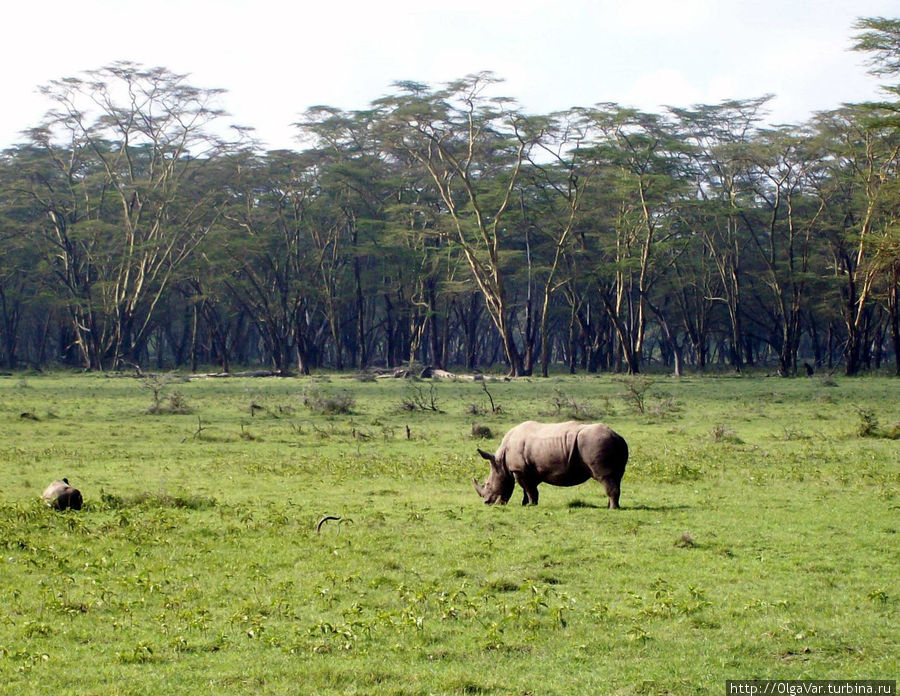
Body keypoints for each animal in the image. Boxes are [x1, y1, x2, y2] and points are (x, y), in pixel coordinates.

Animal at [474, 422, 628, 508]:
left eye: (487, 484)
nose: (487, 503)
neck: (501, 461)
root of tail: (617, 436)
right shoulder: (529, 470)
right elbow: (527, 489)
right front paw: (525, 504)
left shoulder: (519, 470)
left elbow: (529, 488)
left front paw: (531, 505)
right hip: (611, 444)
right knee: (616, 477)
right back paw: (610, 506)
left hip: (596, 443)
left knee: (605, 477)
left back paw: (612, 509)